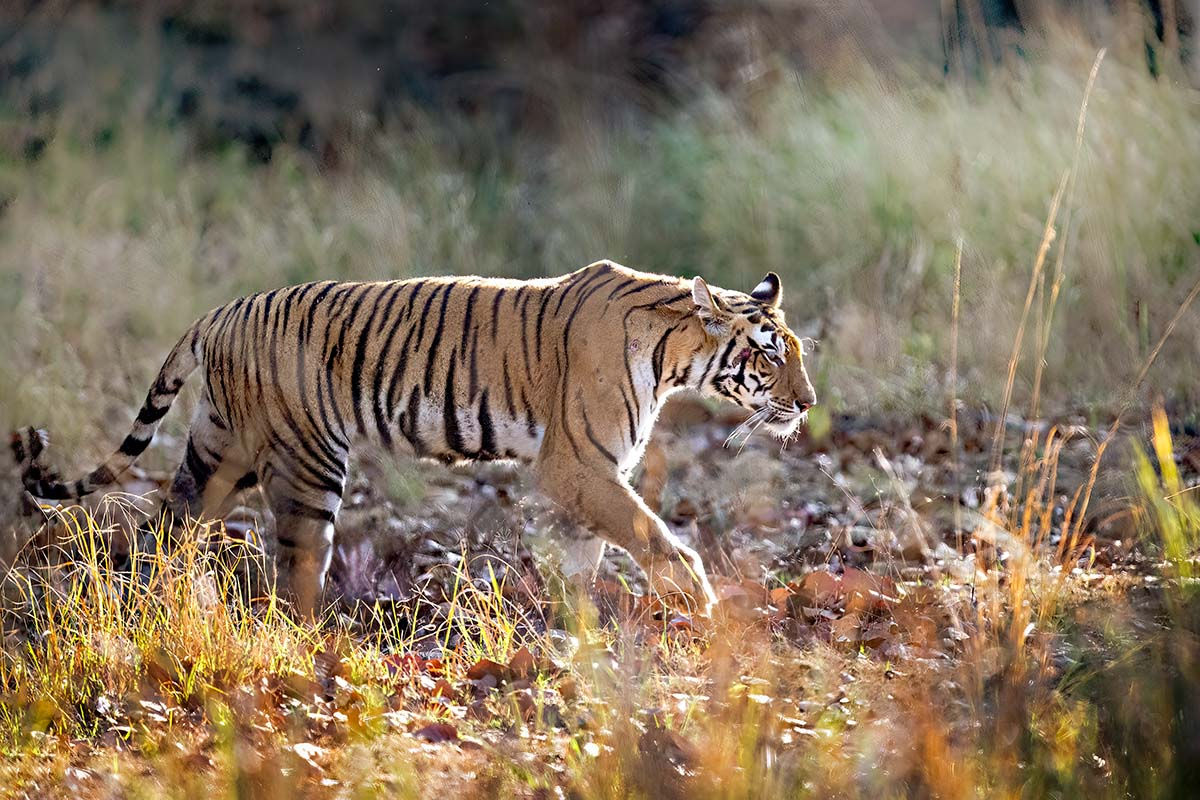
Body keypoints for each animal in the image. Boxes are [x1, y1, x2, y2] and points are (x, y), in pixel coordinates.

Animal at [18, 260, 816, 617]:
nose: (808, 405)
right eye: (770, 356)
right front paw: (700, 602)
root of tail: (220, 311)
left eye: (800, 352)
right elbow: (655, 537)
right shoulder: (576, 466)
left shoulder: (590, 477)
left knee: (168, 526)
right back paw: (311, 643)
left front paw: (575, 631)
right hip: (308, 462)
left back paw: (158, 606)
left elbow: (586, 556)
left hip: (220, 450)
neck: (674, 354)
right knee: (297, 562)